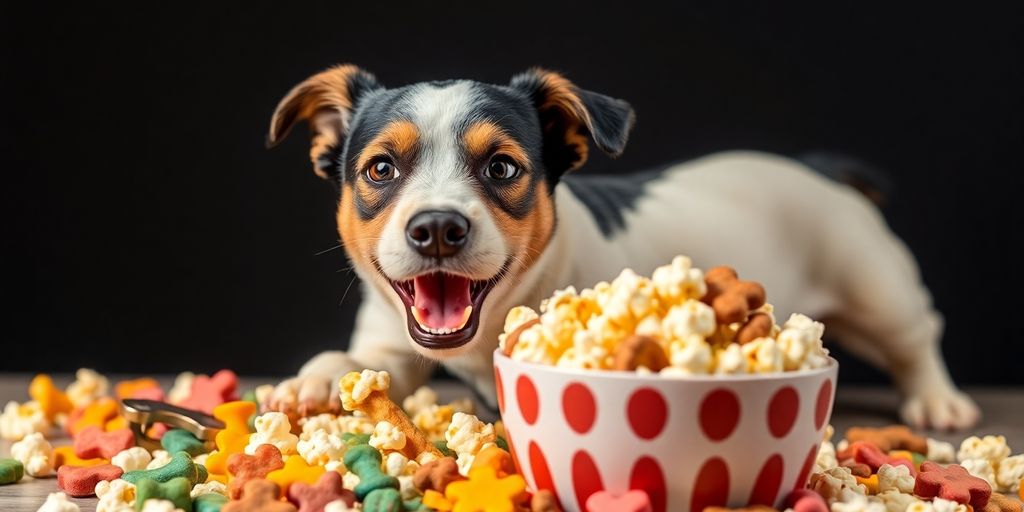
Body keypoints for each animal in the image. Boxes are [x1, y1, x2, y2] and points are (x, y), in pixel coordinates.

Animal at [262, 66, 974, 430]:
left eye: (501, 168)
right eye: (381, 169)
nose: (437, 227)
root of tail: (816, 169)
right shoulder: (389, 344)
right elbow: (358, 361)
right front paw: (311, 381)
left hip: (878, 290)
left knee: (919, 337)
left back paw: (937, 399)